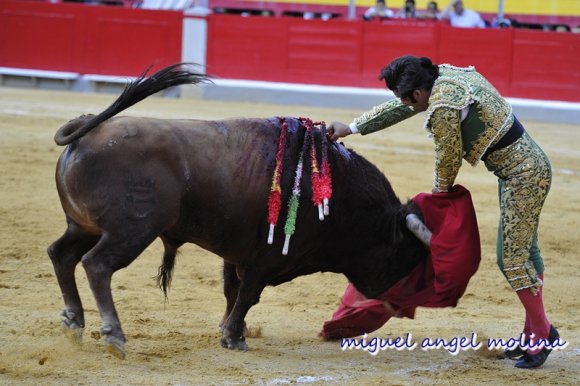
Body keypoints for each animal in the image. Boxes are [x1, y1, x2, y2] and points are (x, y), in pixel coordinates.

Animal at [48, 64, 430, 358]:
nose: (403, 307)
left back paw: (73, 323)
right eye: (407, 254)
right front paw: (234, 337)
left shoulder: (238, 254)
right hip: (132, 230)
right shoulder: (267, 257)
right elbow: (248, 294)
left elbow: (233, 291)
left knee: (61, 254)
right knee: (97, 265)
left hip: (83, 226)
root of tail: (86, 129)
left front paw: (230, 330)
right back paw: (113, 335)